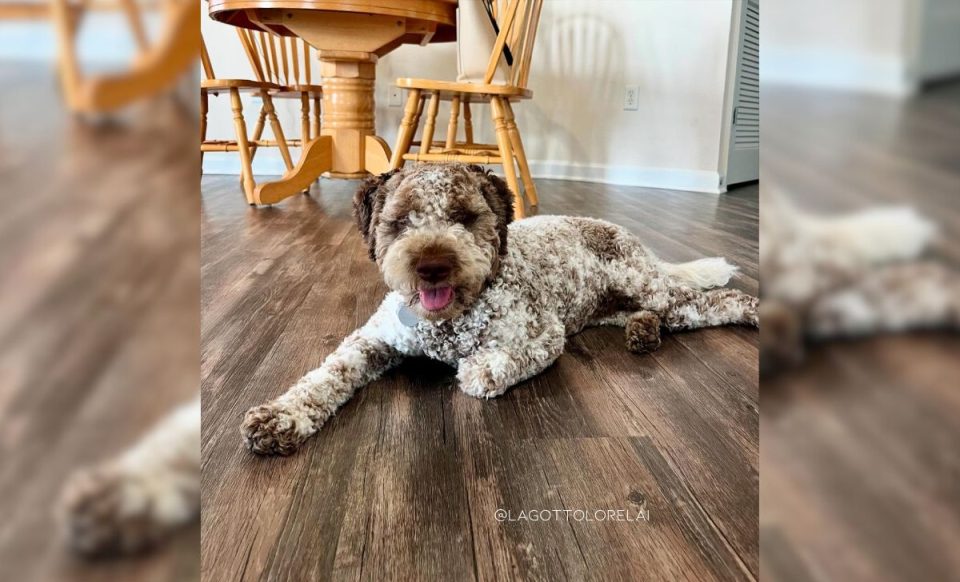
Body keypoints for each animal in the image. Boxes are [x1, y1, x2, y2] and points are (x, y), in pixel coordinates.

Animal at [240, 163, 756, 456]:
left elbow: (487, 367)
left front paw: (477, 369)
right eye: (400, 221)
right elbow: (327, 374)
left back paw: (750, 311)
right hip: (614, 304)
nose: (432, 265)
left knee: (709, 302)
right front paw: (281, 415)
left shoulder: (545, 335)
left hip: (647, 285)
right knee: (653, 316)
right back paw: (643, 333)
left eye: (466, 218)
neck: (448, 323)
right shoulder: (376, 338)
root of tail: (629, 237)